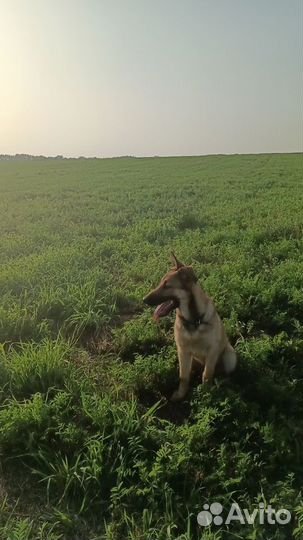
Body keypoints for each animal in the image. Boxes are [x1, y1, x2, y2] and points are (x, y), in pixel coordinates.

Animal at [144, 254, 239, 400]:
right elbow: (183, 376)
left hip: (230, 356)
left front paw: (206, 394)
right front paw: (181, 394)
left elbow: (207, 375)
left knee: (221, 372)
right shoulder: (183, 351)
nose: (144, 300)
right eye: (161, 283)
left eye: (166, 285)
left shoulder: (212, 351)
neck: (194, 320)